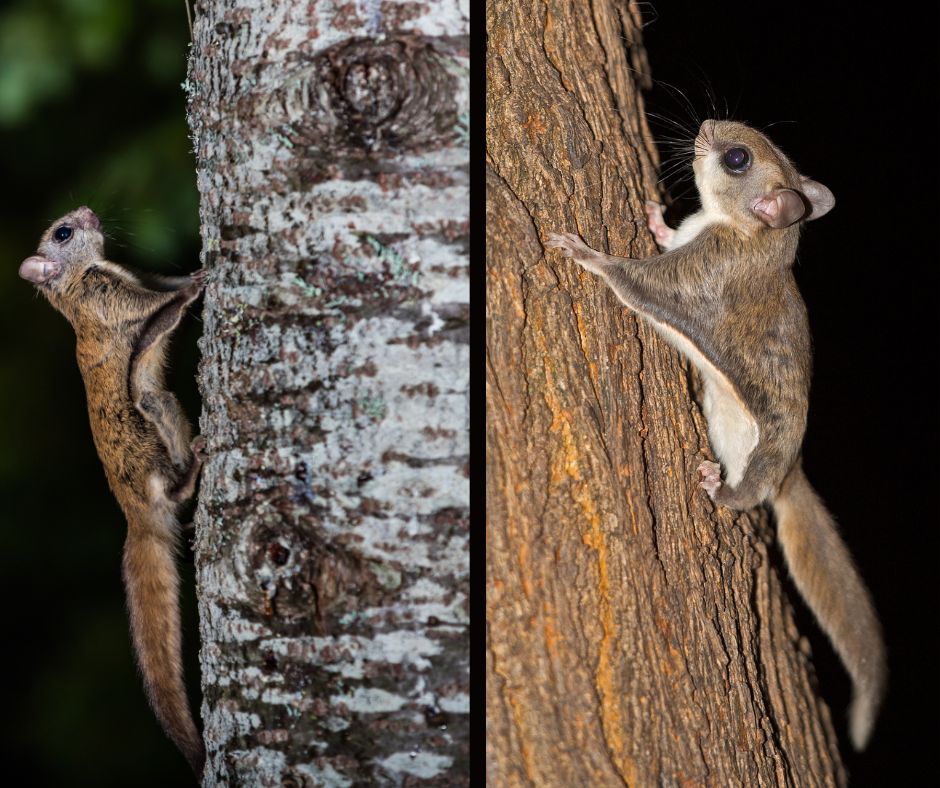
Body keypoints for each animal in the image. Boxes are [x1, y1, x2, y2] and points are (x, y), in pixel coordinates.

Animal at [17, 205, 208, 776]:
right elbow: (154, 311)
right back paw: (193, 469)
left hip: (162, 405)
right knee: (172, 491)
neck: (84, 275)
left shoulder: (134, 283)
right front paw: (198, 287)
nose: (88, 211)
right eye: (63, 233)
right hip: (146, 428)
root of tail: (135, 517)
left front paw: (192, 273)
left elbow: (162, 288)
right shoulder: (110, 300)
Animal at [548, 121, 884, 752]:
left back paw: (719, 488)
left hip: (760, 458)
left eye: (736, 159)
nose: (705, 127)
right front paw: (656, 218)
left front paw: (584, 253)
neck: (748, 234)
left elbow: (633, 281)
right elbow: (665, 238)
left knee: (747, 496)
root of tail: (790, 472)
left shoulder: (697, 276)